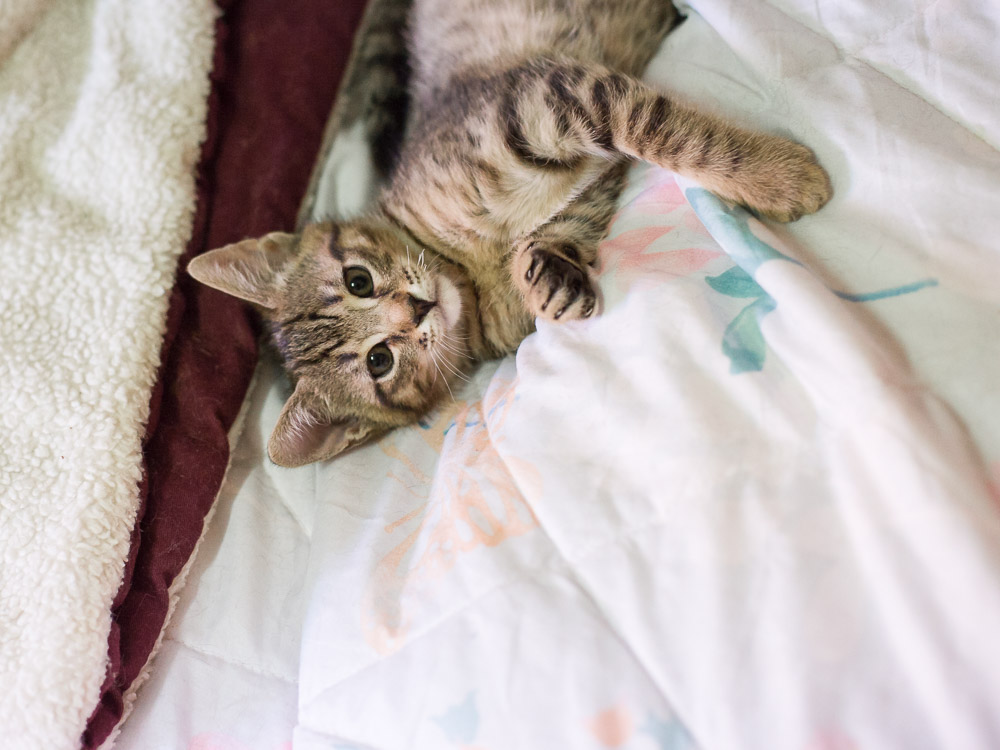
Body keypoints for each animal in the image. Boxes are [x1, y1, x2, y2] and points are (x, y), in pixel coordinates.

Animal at [191, 0, 832, 468]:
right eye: (379, 362)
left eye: (358, 280)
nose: (416, 310)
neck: (464, 266)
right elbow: (569, 223)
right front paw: (552, 277)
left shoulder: (544, 98)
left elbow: (664, 130)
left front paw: (777, 176)